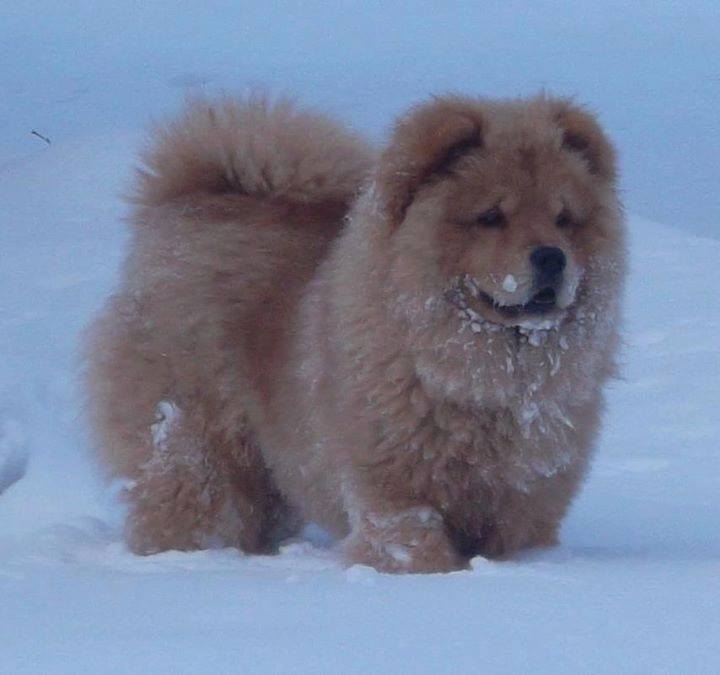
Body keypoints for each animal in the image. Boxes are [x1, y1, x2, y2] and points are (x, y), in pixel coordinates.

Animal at [84, 93, 625, 572]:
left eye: (564, 219)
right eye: (491, 217)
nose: (552, 257)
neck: (485, 383)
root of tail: (190, 202)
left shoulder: (527, 504)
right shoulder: (395, 496)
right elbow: (414, 551)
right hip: (193, 441)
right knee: (187, 500)